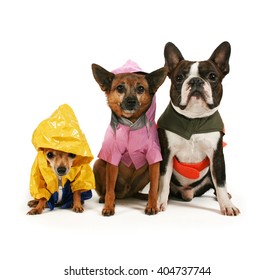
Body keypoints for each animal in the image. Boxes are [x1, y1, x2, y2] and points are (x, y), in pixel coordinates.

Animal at [91, 60, 167, 215]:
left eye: (140, 89)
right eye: (120, 88)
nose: (131, 101)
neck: (131, 124)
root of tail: (125, 194)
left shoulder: (154, 159)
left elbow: (154, 188)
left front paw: (152, 205)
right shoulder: (112, 157)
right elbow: (110, 190)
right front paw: (109, 206)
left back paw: (142, 196)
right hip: (98, 164)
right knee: (107, 191)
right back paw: (104, 199)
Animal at [158, 42, 240, 217]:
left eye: (212, 77)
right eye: (179, 78)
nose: (195, 80)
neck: (194, 120)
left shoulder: (216, 156)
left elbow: (221, 182)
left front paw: (227, 205)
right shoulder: (167, 154)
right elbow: (163, 180)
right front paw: (159, 202)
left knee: (216, 185)